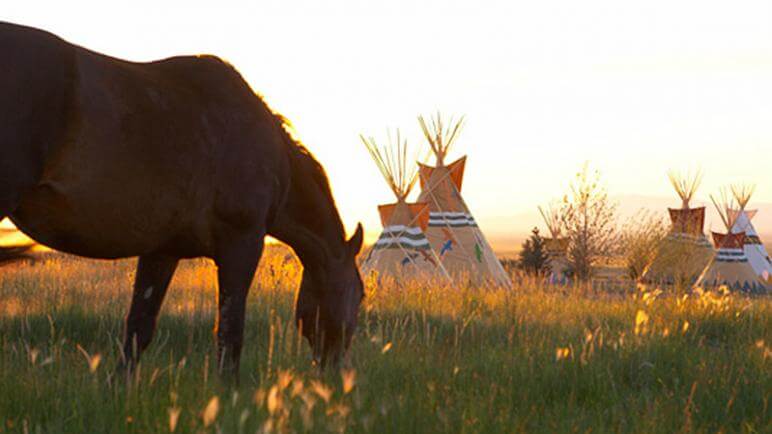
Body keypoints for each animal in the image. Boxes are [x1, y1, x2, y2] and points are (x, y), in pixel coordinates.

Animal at [0, 22, 364, 378]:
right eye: (360, 295)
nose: (335, 371)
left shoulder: (163, 250)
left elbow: (139, 328)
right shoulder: (242, 245)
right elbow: (230, 334)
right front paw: (228, 393)